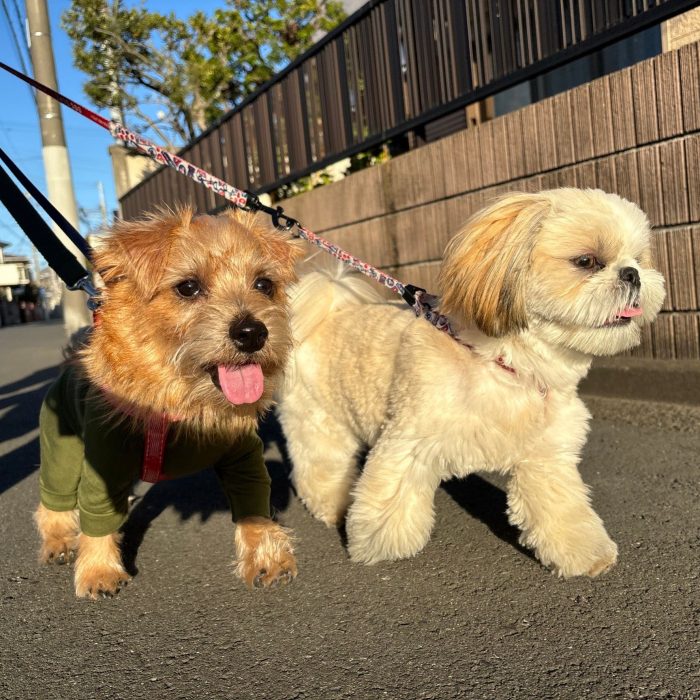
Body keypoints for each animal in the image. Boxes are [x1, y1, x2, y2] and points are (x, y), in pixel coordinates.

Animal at [34, 205, 300, 600]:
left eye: (264, 284)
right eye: (188, 287)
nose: (252, 332)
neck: (184, 399)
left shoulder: (244, 455)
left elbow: (254, 503)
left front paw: (266, 554)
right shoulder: (104, 460)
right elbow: (96, 512)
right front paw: (98, 569)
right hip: (60, 451)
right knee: (54, 502)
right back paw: (59, 542)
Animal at [276, 189, 664, 576]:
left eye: (639, 259)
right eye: (586, 261)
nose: (632, 274)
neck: (507, 364)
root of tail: (327, 312)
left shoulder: (546, 457)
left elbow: (563, 509)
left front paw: (585, 554)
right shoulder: (409, 442)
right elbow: (391, 499)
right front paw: (377, 547)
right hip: (318, 420)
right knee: (320, 466)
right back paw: (333, 506)